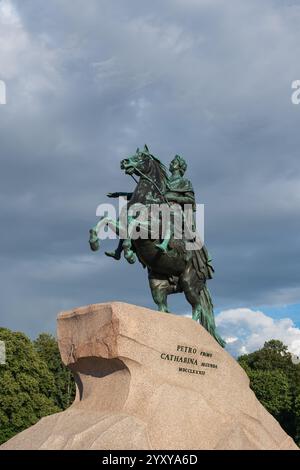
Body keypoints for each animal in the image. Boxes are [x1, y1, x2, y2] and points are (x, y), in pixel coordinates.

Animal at [89, 149, 225, 346]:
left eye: (142, 157)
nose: (124, 162)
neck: (147, 199)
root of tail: (204, 276)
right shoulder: (121, 225)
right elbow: (106, 220)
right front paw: (95, 241)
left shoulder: (152, 228)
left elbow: (134, 223)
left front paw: (129, 251)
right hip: (157, 285)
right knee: (163, 308)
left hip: (189, 283)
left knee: (197, 308)